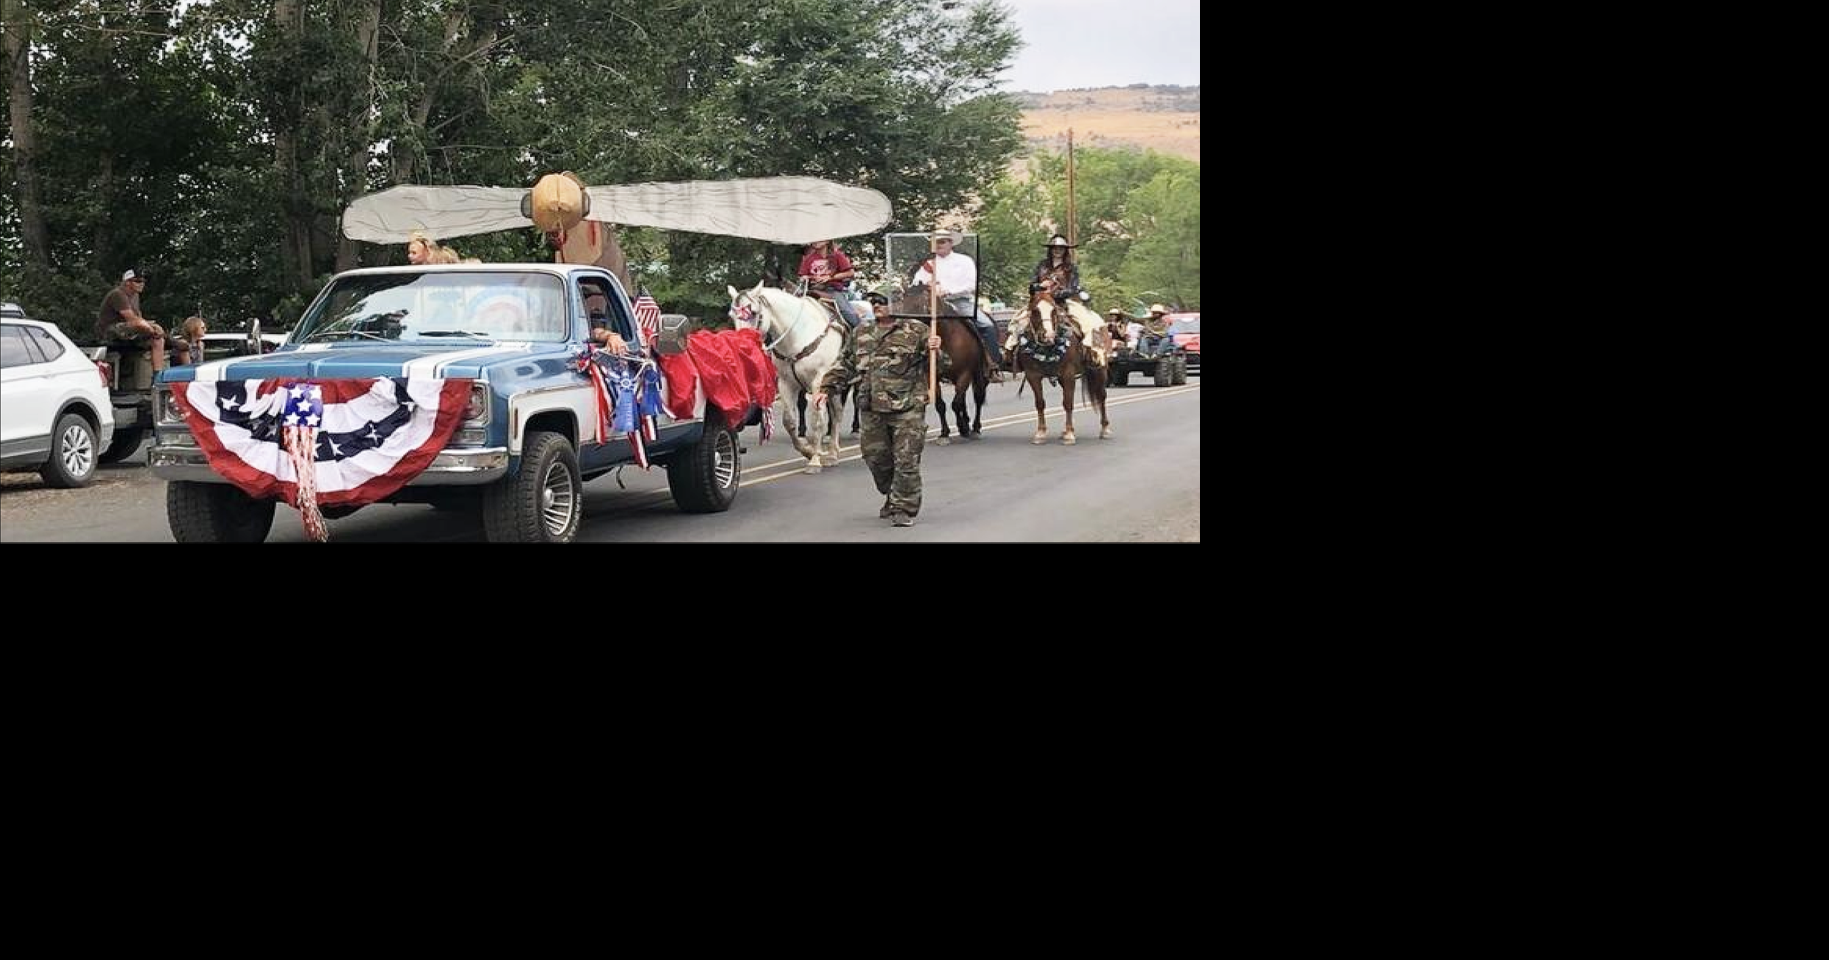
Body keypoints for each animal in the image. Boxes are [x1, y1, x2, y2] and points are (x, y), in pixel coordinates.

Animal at [724, 281, 844, 471]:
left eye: (754, 313)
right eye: (732, 315)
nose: (741, 346)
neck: (799, 335)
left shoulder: (818, 381)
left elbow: (817, 420)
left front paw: (815, 460)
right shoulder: (786, 383)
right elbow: (789, 421)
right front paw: (807, 450)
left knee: (837, 414)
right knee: (837, 413)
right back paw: (832, 453)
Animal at [1009, 288, 1104, 446]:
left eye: (1054, 310)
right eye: (1035, 311)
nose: (1048, 336)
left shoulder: (1068, 374)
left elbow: (1068, 403)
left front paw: (1070, 434)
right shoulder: (1033, 375)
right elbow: (1040, 403)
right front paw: (1041, 433)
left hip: (1100, 369)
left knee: (1101, 396)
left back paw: (1105, 428)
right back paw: (1064, 432)